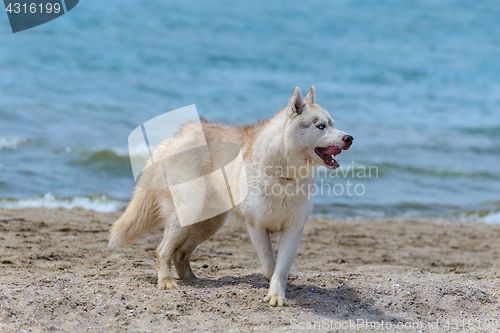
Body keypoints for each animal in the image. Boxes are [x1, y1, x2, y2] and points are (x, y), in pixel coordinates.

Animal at [109, 86, 352, 306]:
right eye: (320, 126)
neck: (284, 176)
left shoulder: (293, 229)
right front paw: (274, 290)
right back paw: (167, 282)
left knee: (180, 253)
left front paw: (277, 294)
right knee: (162, 250)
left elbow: (281, 268)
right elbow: (270, 265)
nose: (349, 138)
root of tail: (173, 139)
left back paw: (195, 280)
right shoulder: (256, 227)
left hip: (208, 223)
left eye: (333, 123)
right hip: (187, 214)